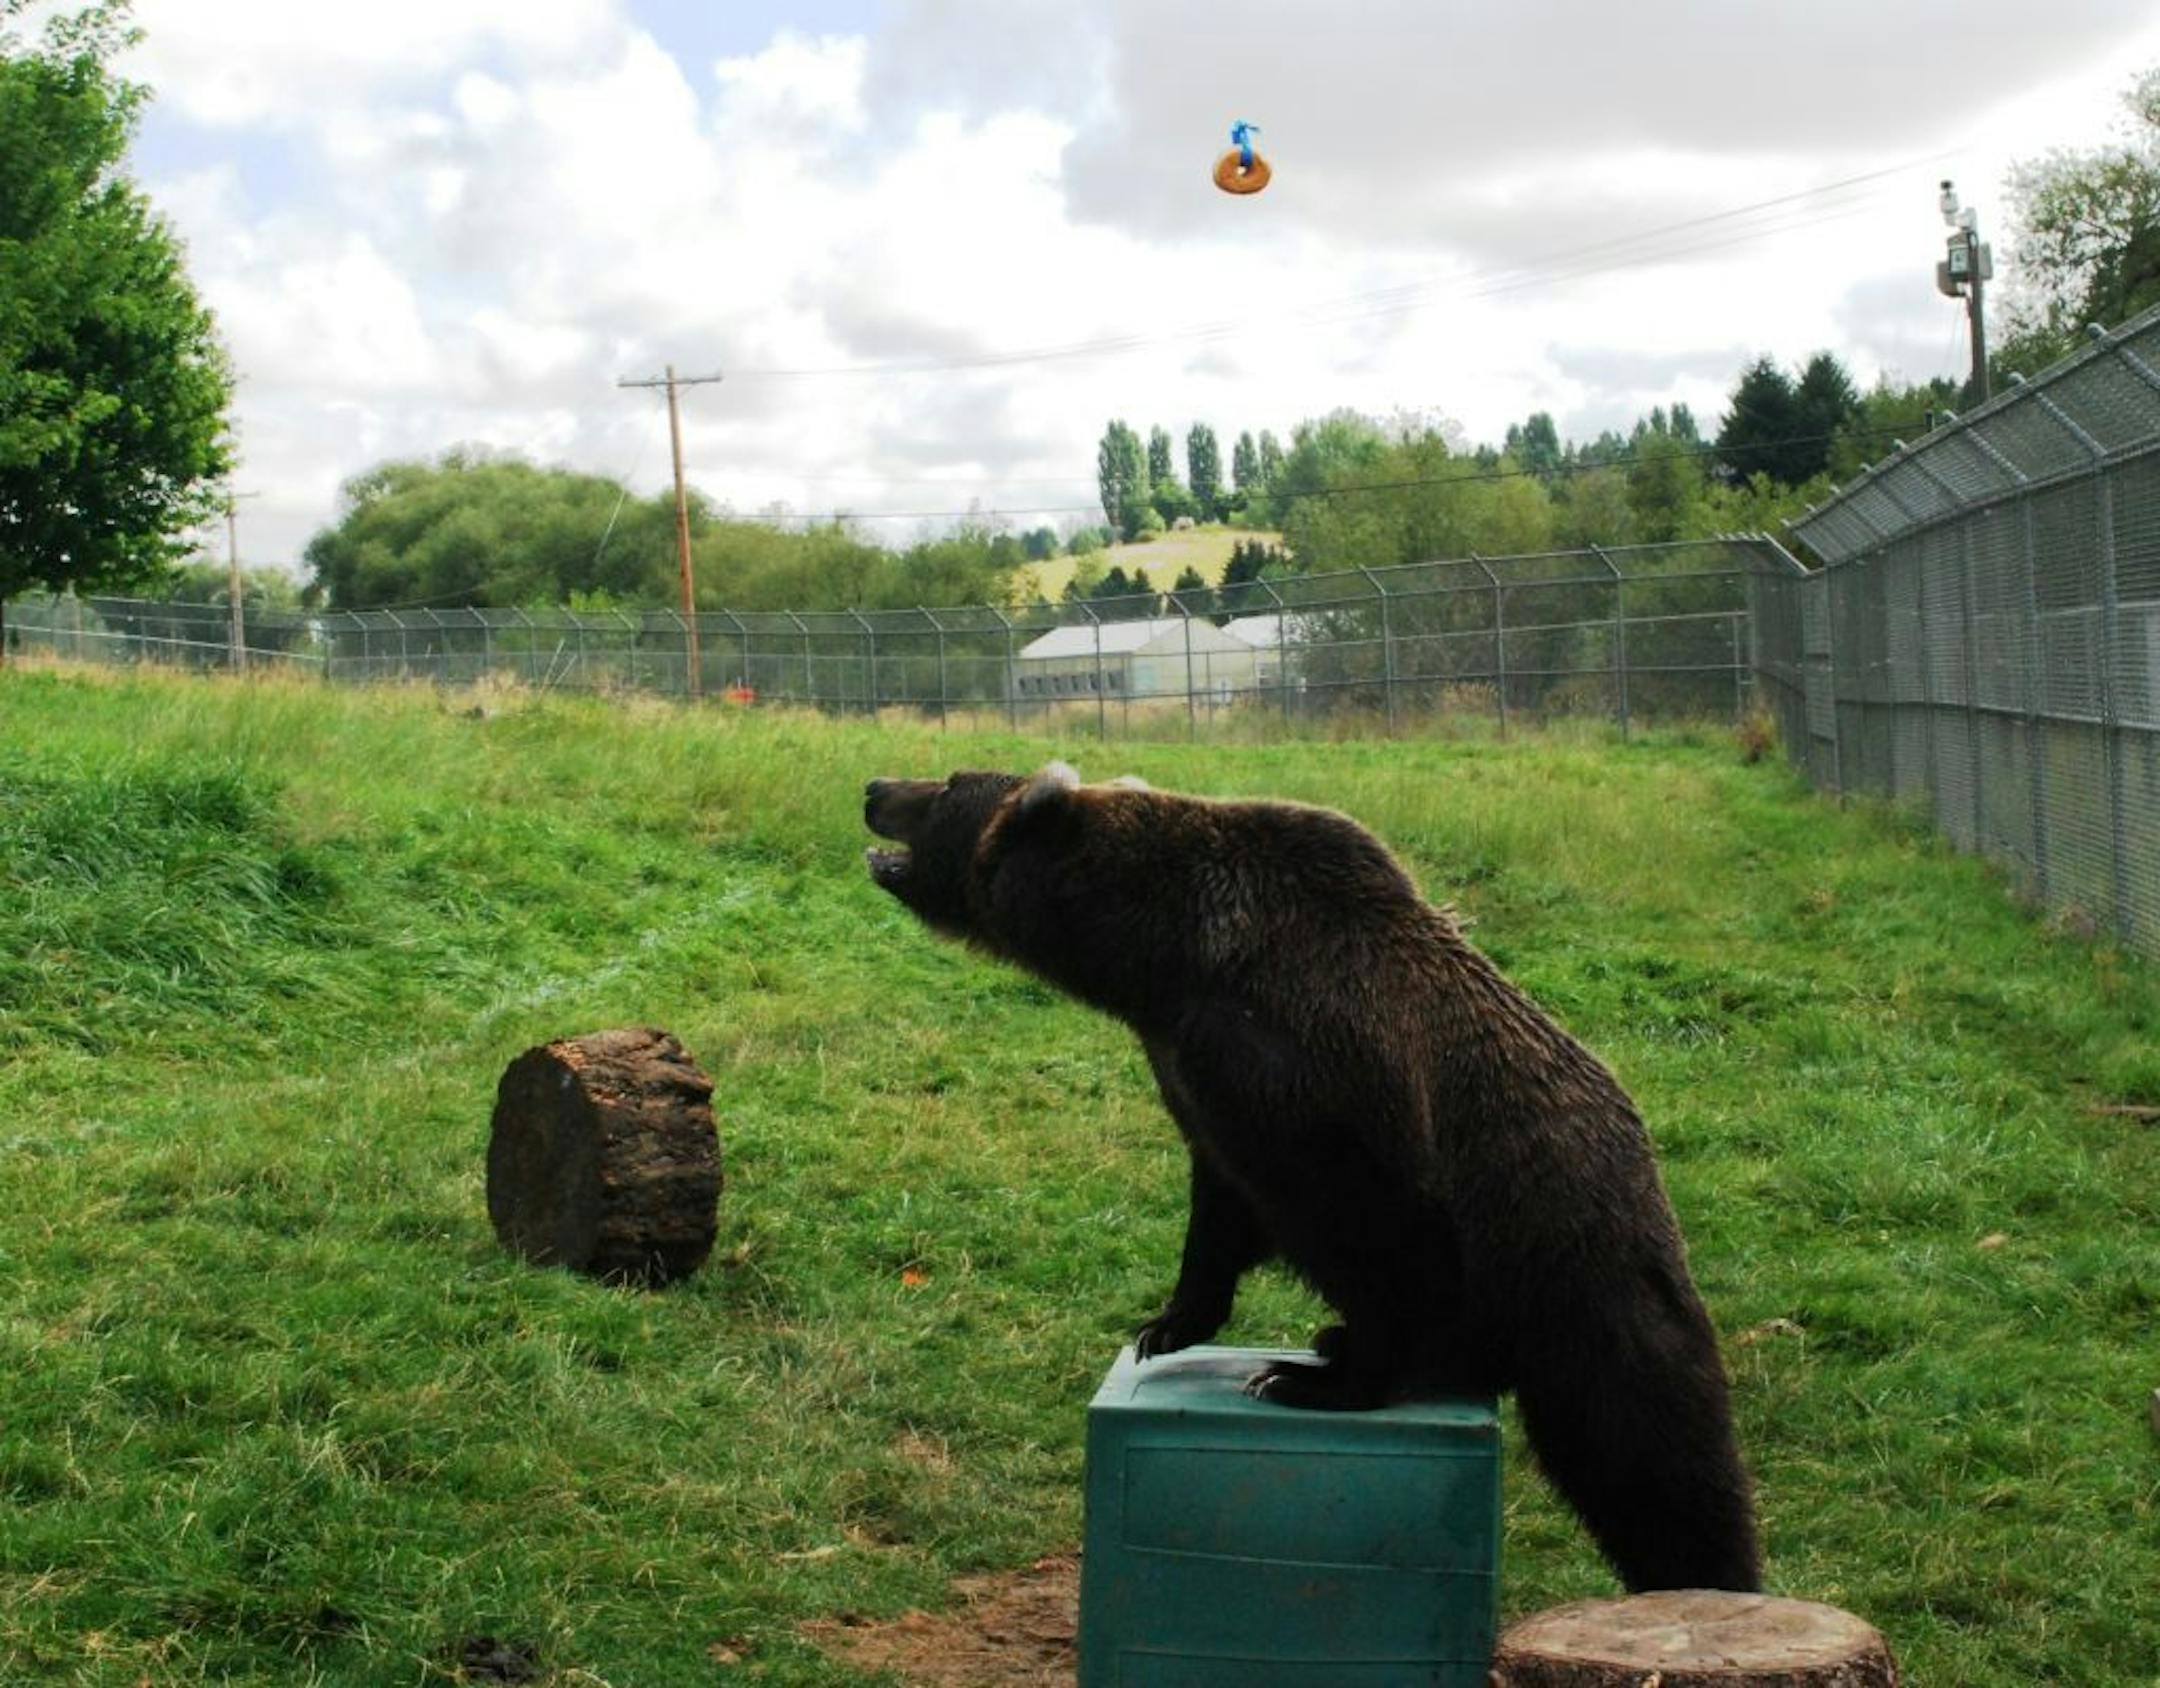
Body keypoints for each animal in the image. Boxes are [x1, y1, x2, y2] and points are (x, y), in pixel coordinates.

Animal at [862, 761, 1761, 1594]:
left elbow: (1378, 1237)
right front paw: (1170, 1324)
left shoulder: (1307, 1078)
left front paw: (1311, 1379)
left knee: (1653, 1457)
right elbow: (1221, 1211)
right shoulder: (1199, 1087)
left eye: (949, 784)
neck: (1161, 962)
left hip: (1575, 1266)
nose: (875, 787)